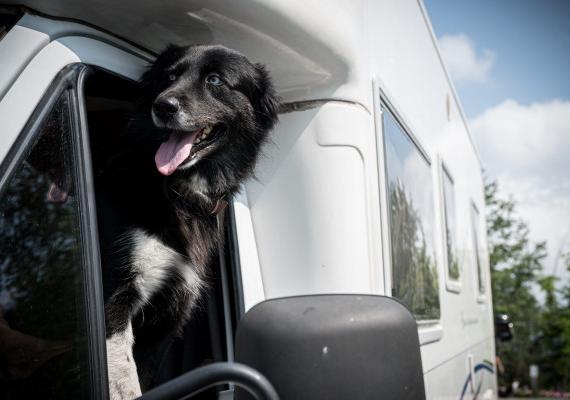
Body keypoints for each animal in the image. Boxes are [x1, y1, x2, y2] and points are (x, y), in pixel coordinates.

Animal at [95, 44, 278, 400]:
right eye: (169, 76)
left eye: (215, 80)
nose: (163, 106)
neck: (178, 192)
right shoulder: (114, 294)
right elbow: (124, 375)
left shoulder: (169, 314)